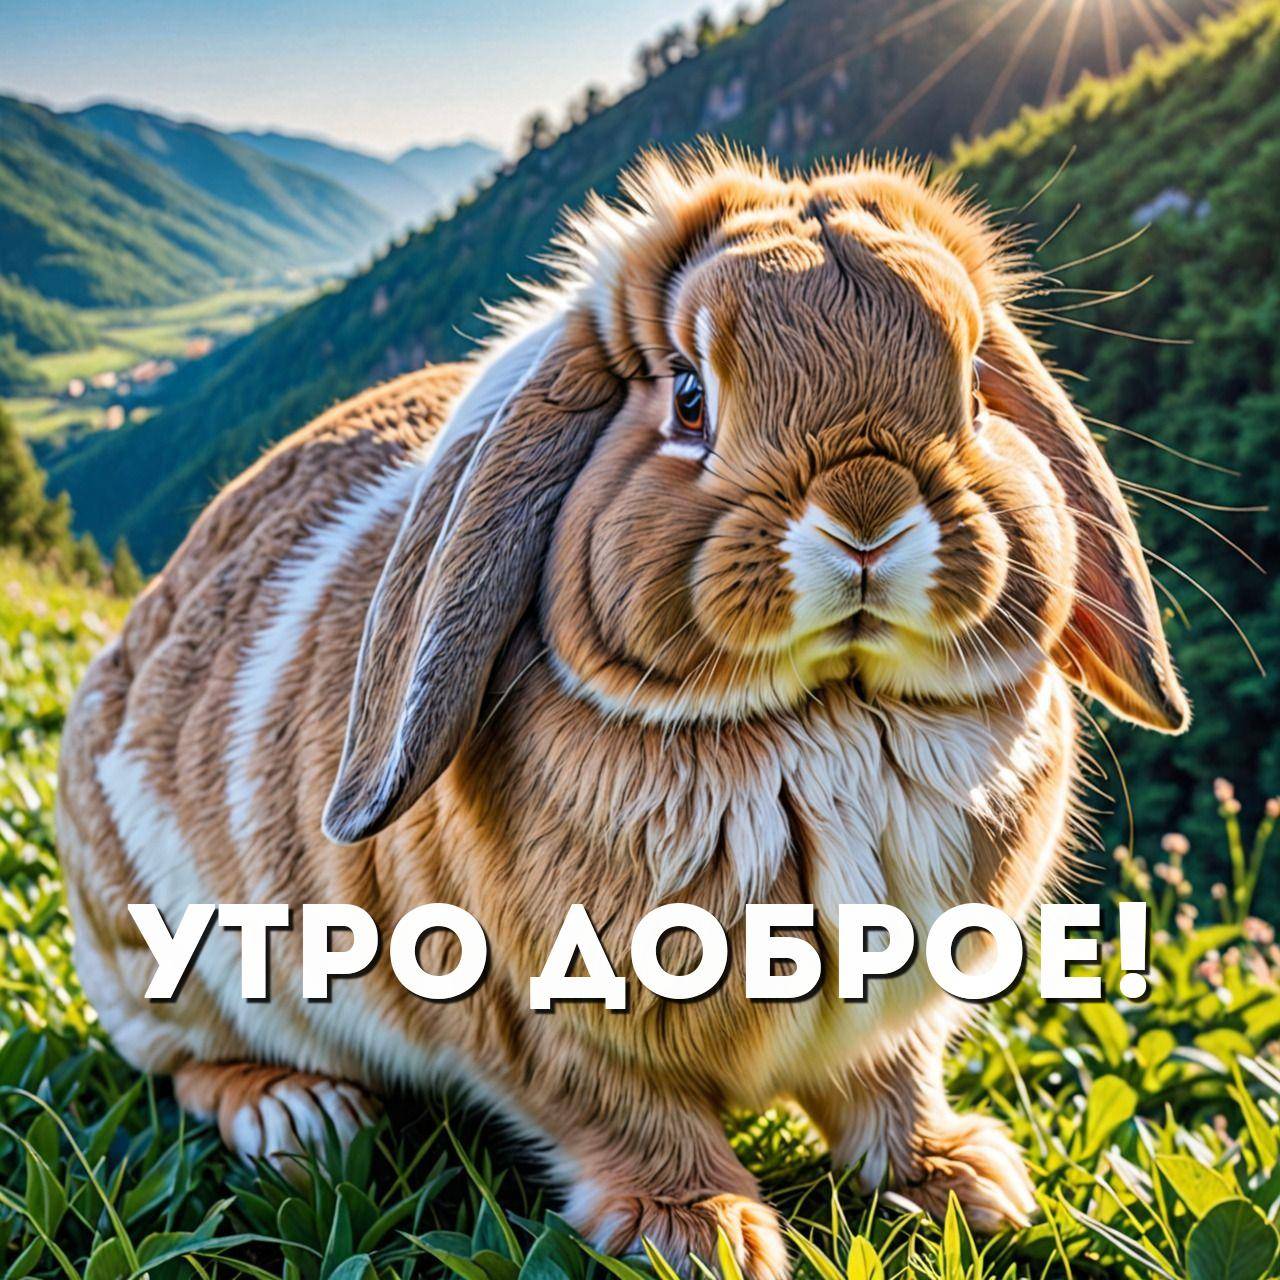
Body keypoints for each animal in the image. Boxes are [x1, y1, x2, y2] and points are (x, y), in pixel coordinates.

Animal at [57, 149, 1189, 1278]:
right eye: (689, 397)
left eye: (975, 389)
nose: (866, 514)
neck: (830, 718)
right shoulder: (551, 1026)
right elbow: (630, 1120)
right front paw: (700, 1234)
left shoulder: (892, 1021)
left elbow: (892, 1090)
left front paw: (964, 1183)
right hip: (163, 963)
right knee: (186, 1062)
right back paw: (298, 1114)